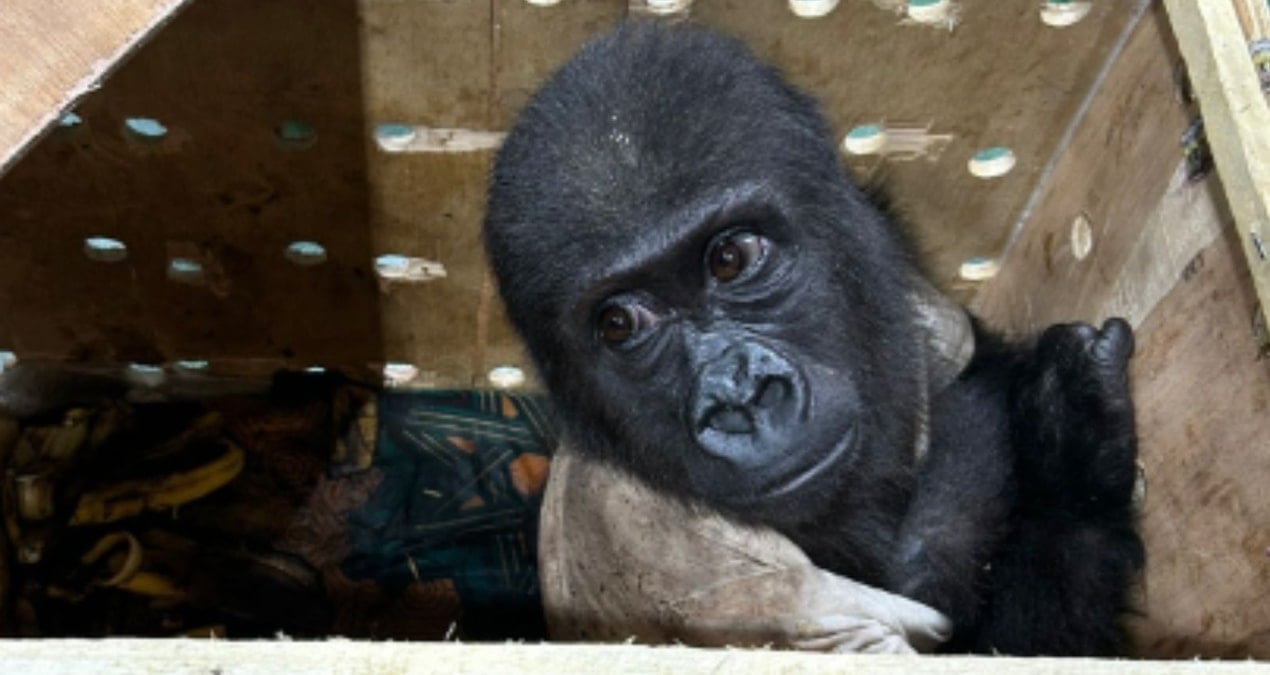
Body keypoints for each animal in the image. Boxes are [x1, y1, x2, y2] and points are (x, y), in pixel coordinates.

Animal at [482, 21, 1143, 655]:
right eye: (620, 323)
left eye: (730, 259)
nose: (740, 396)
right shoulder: (689, 562)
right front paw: (1071, 458)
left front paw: (1067, 436)